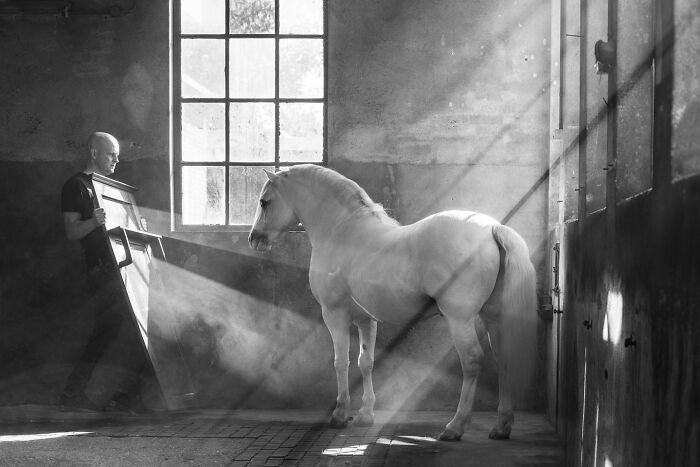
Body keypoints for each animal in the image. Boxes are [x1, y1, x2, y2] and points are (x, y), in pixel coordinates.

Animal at [248, 164, 537, 441]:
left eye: (264, 202)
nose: (254, 239)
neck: (341, 231)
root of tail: (491, 228)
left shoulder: (334, 314)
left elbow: (341, 361)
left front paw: (340, 414)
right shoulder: (366, 320)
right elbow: (365, 361)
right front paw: (365, 415)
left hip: (460, 319)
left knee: (472, 361)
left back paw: (455, 427)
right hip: (493, 317)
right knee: (503, 358)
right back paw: (501, 427)